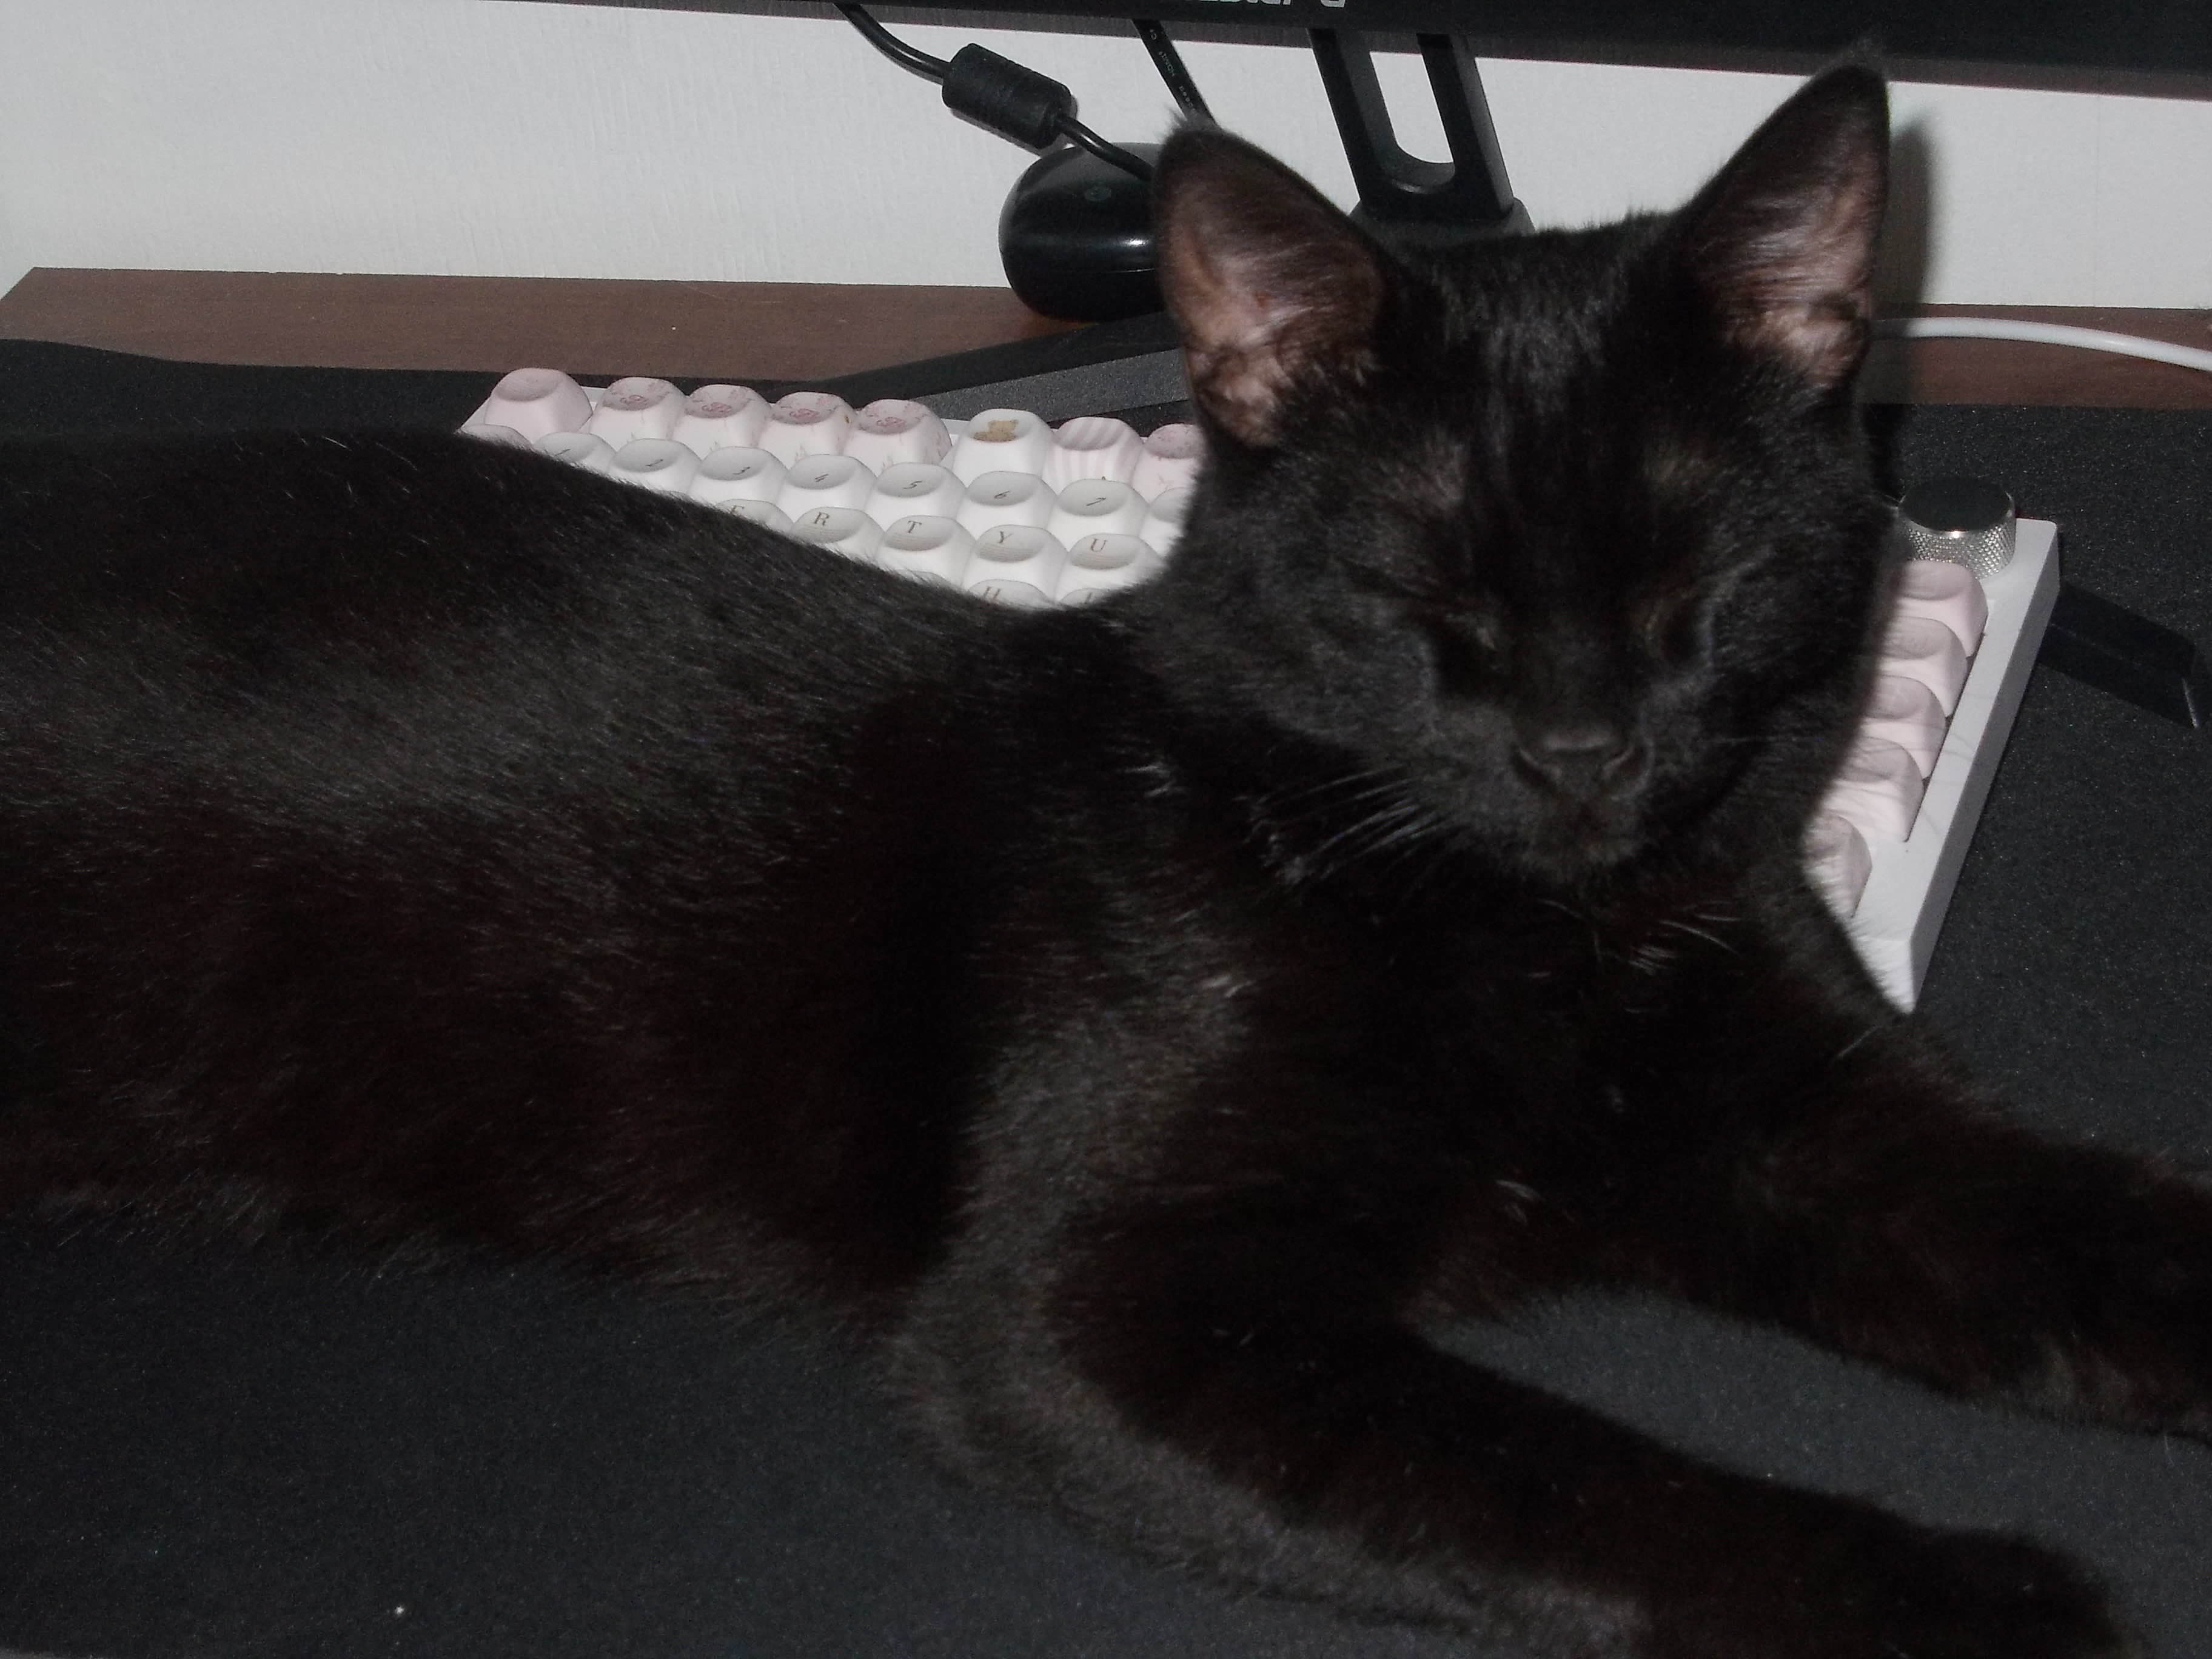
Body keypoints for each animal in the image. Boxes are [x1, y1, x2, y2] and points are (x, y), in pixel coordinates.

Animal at [0, 61, 2204, 1659]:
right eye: (1420, 592)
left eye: (1702, 583)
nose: (1584, 750)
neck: (1521, 931)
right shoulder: (1087, 1314)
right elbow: (1561, 1471)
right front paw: (1963, 1595)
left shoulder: (1824, 1122)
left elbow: (2094, 1232)